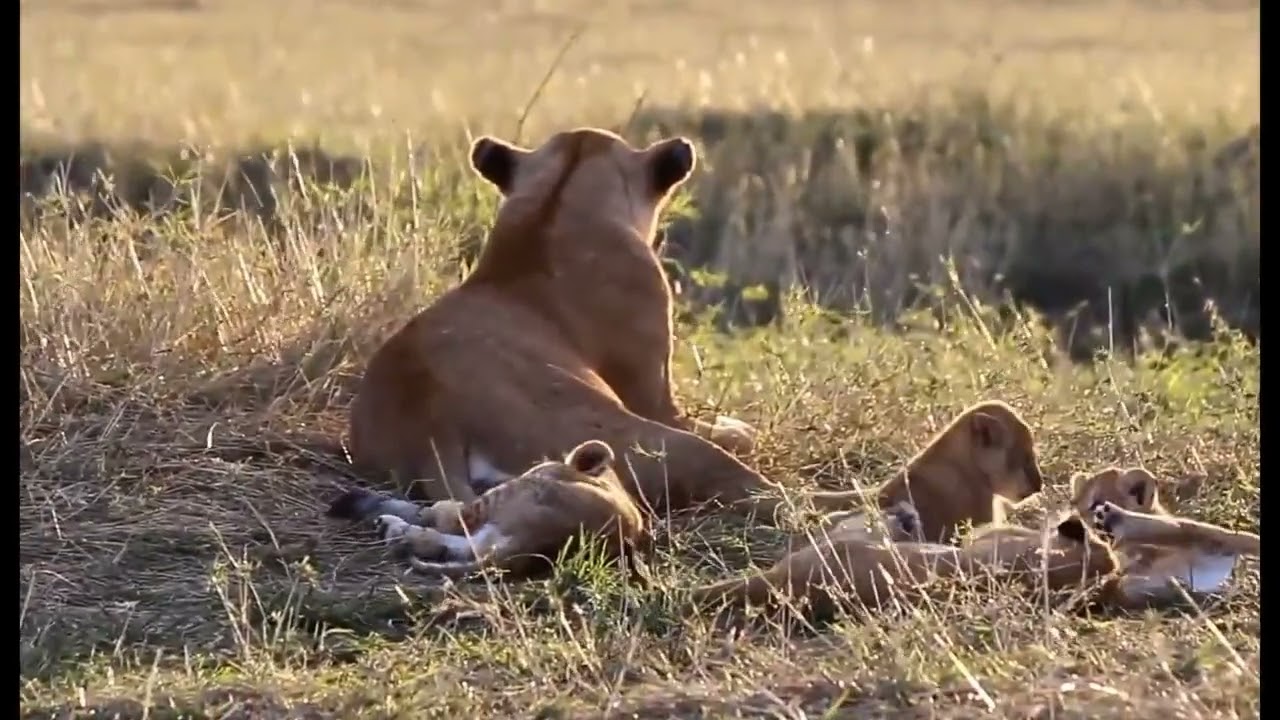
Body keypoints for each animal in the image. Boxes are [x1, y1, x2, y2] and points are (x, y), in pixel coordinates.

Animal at [327, 439, 648, 581]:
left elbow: (438, 512)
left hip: (501, 499)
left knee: (446, 521)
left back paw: (386, 522)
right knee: (461, 545)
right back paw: (396, 531)